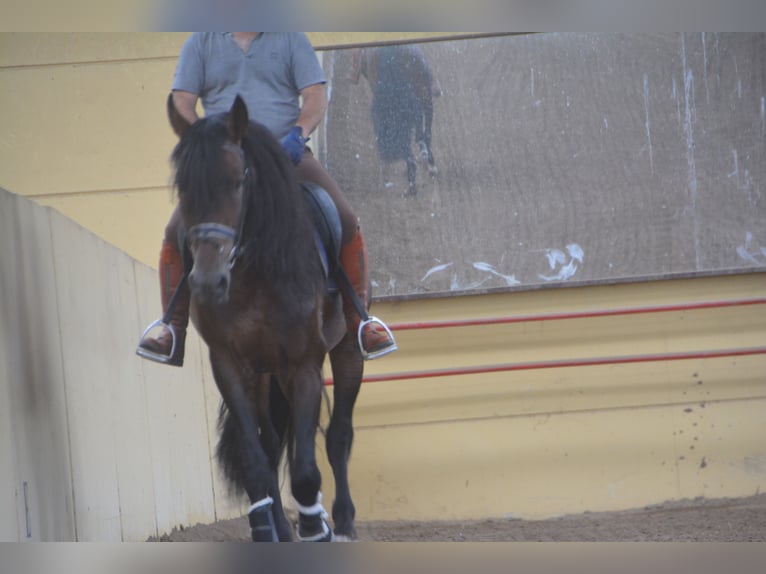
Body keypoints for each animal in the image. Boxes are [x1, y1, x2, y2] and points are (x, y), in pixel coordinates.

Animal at [166, 94, 364, 544]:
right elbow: (256, 460)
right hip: (262, 375)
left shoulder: (303, 366)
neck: (254, 276)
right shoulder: (230, 366)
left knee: (339, 433)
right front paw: (266, 530)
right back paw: (284, 529)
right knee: (271, 444)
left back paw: (343, 522)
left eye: (238, 181)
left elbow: (306, 471)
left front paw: (317, 529)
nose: (207, 283)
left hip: (346, 350)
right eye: (183, 186)